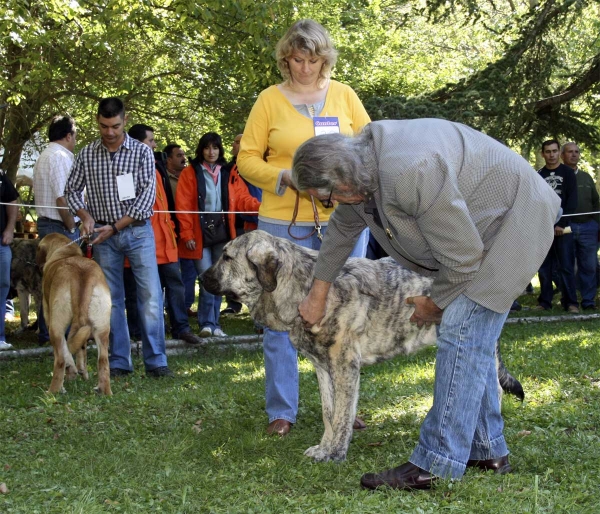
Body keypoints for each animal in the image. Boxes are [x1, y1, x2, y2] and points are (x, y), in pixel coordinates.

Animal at [36, 230, 112, 394]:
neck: (66, 252)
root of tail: (82, 273)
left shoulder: (48, 316)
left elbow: (66, 351)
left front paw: (72, 370)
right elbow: (81, 349)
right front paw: (81, 372)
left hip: (55, 326)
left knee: (60, 359)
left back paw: (53, 391)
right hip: (101, 327)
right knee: (103, 360)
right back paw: (104, 391)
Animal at [204, 228, 524, 460]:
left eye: (227, 257)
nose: (202, 277)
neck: (303, 286)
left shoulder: (345, 366)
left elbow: (342, 415)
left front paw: (335, 453)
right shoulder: (323, 368)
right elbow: (329, 413)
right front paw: (324, 447)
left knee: (492, 391)